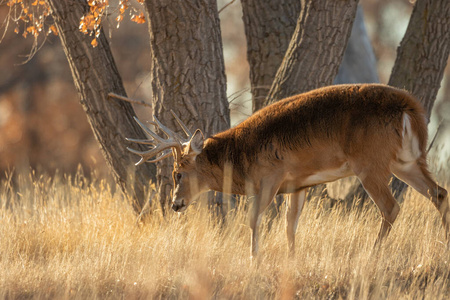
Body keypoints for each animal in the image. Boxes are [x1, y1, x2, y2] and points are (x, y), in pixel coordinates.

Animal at [126, 83, 450, 256]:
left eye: (178, 173)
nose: (175, 203)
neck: (241, 156)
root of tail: (410, 109)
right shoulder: (299, 184)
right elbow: (289, 226)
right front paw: (290, 260)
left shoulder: (271, 176)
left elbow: (254, 220)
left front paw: (253, 260)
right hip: (405, 161)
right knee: (440, 193)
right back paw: (445, 245)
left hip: (370, 162)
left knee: (391, 207)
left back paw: (373, 254)